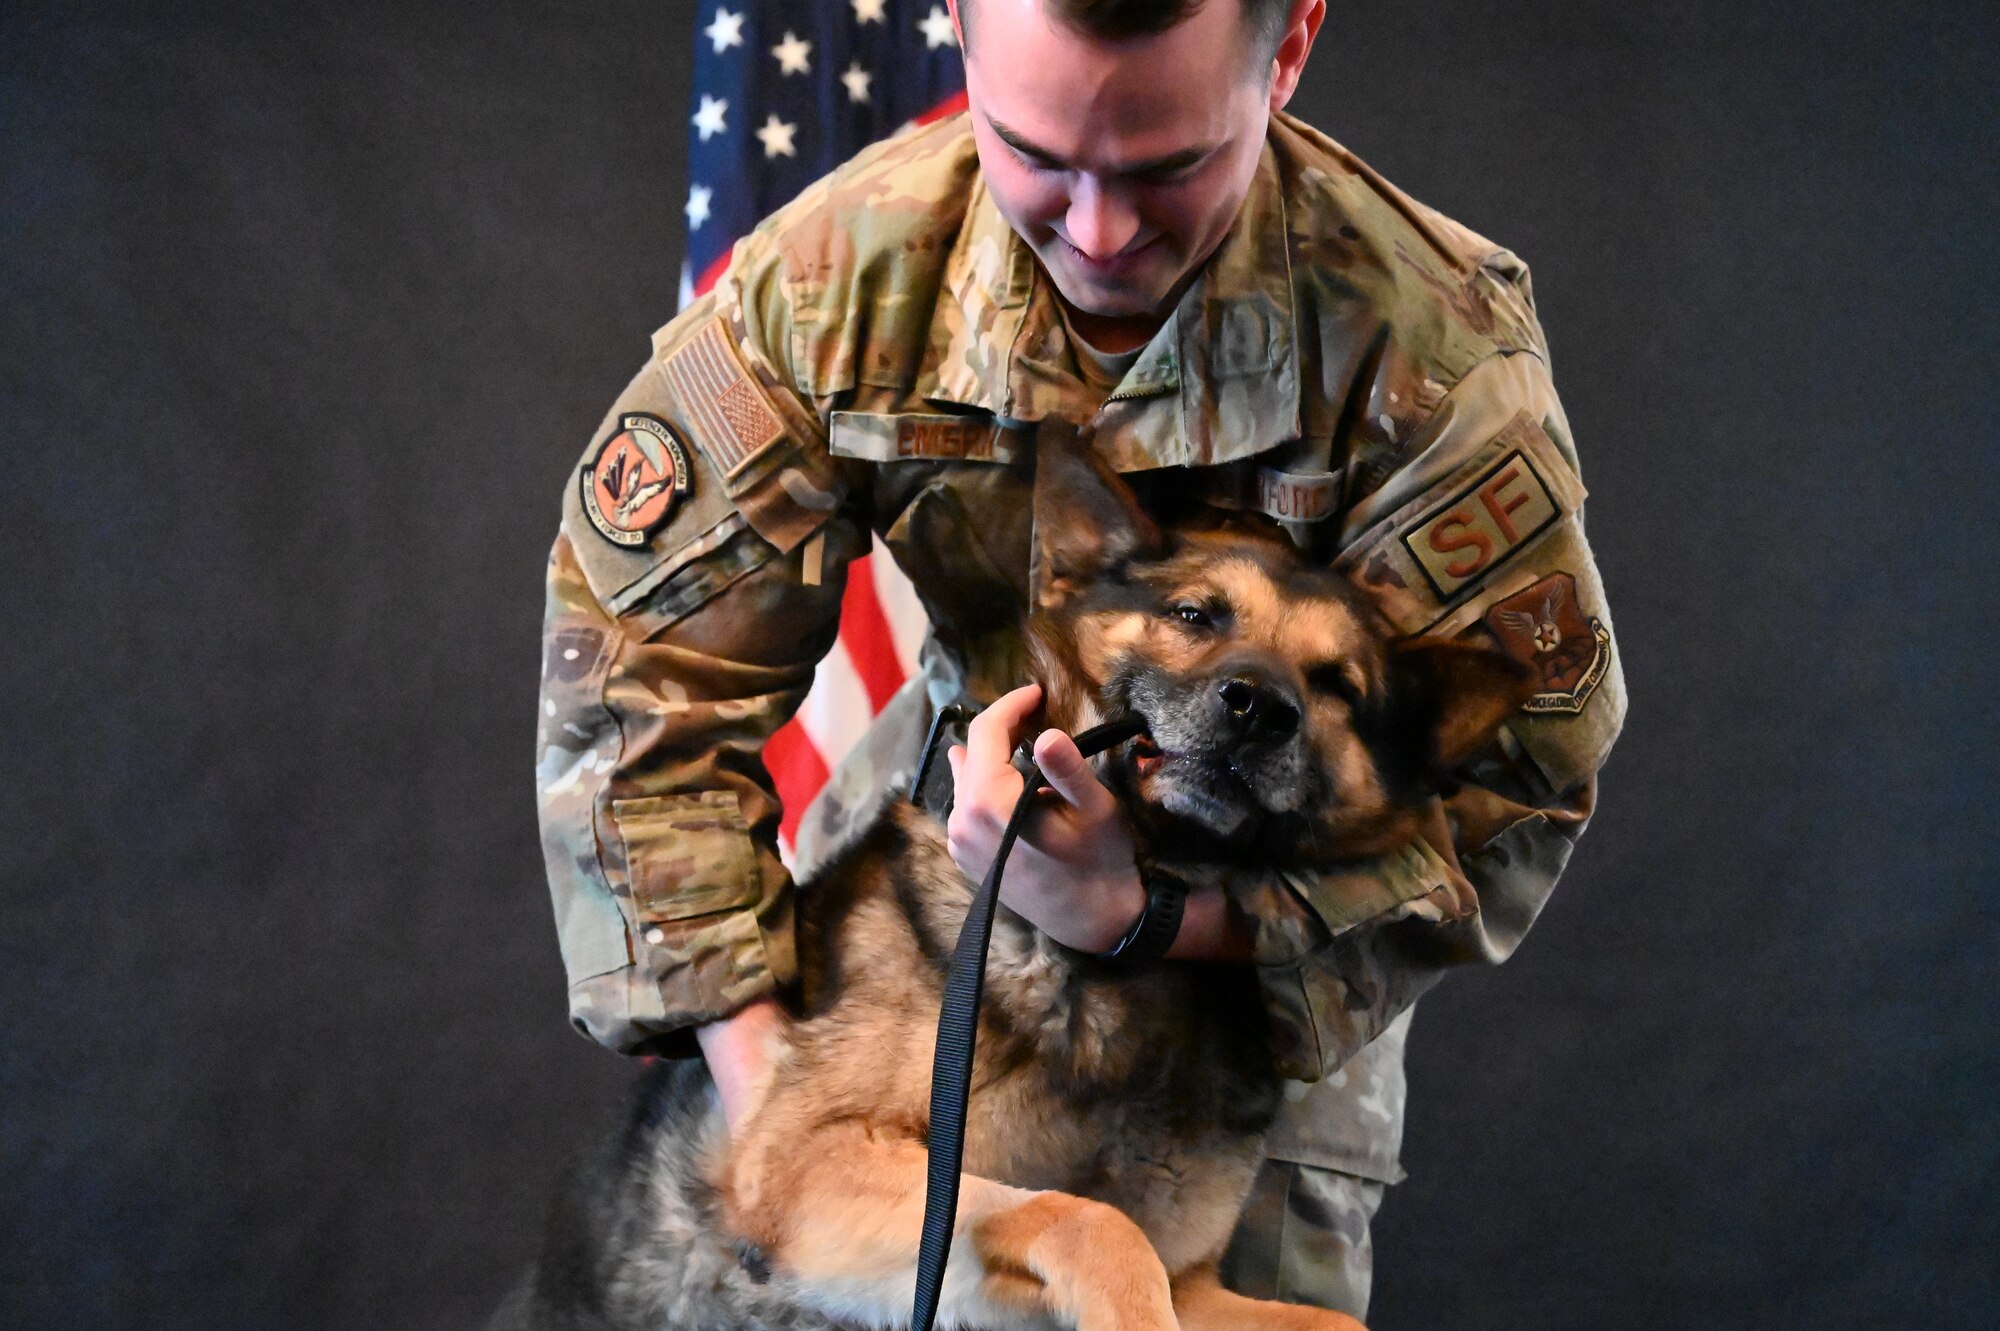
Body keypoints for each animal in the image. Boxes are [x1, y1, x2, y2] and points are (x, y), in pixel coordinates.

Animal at [500, 437, 1528, 1327]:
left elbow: (1323, 1317)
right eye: (1196, 615)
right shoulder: (819, 1171)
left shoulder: (1192, 1283)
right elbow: (1085, 1219)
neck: (1118, 965)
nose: (1258, 707)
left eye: (1338, 687)